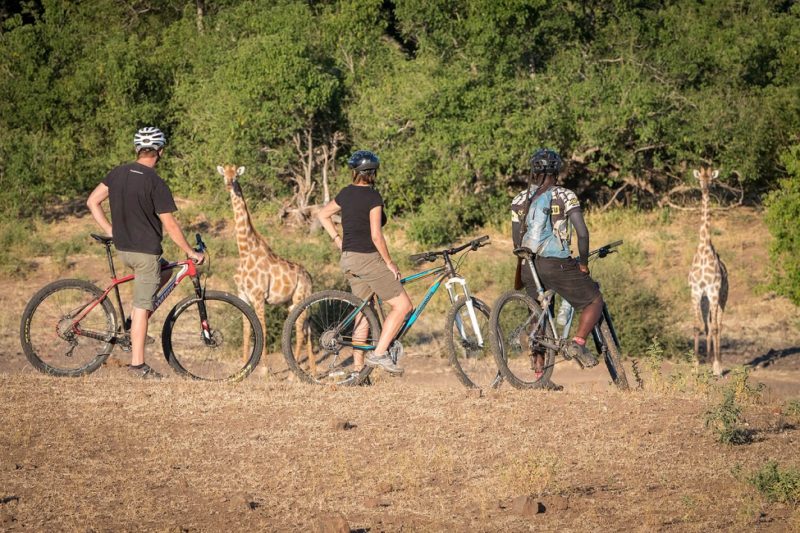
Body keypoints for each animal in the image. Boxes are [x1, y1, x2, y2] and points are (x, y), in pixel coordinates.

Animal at [217, 164, 314, 376]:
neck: (244, 250)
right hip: (292, 302)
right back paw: (313, 369)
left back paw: (293, 375)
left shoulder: (259, 296)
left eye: (236, 176)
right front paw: (244, 366)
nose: (228, 184)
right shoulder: (243, 295)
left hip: (299, 298)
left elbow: (262, 328)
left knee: (300, 330)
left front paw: (265, 369)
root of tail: (310, 278)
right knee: (306, 328)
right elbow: (246, 330)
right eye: (224, 174)